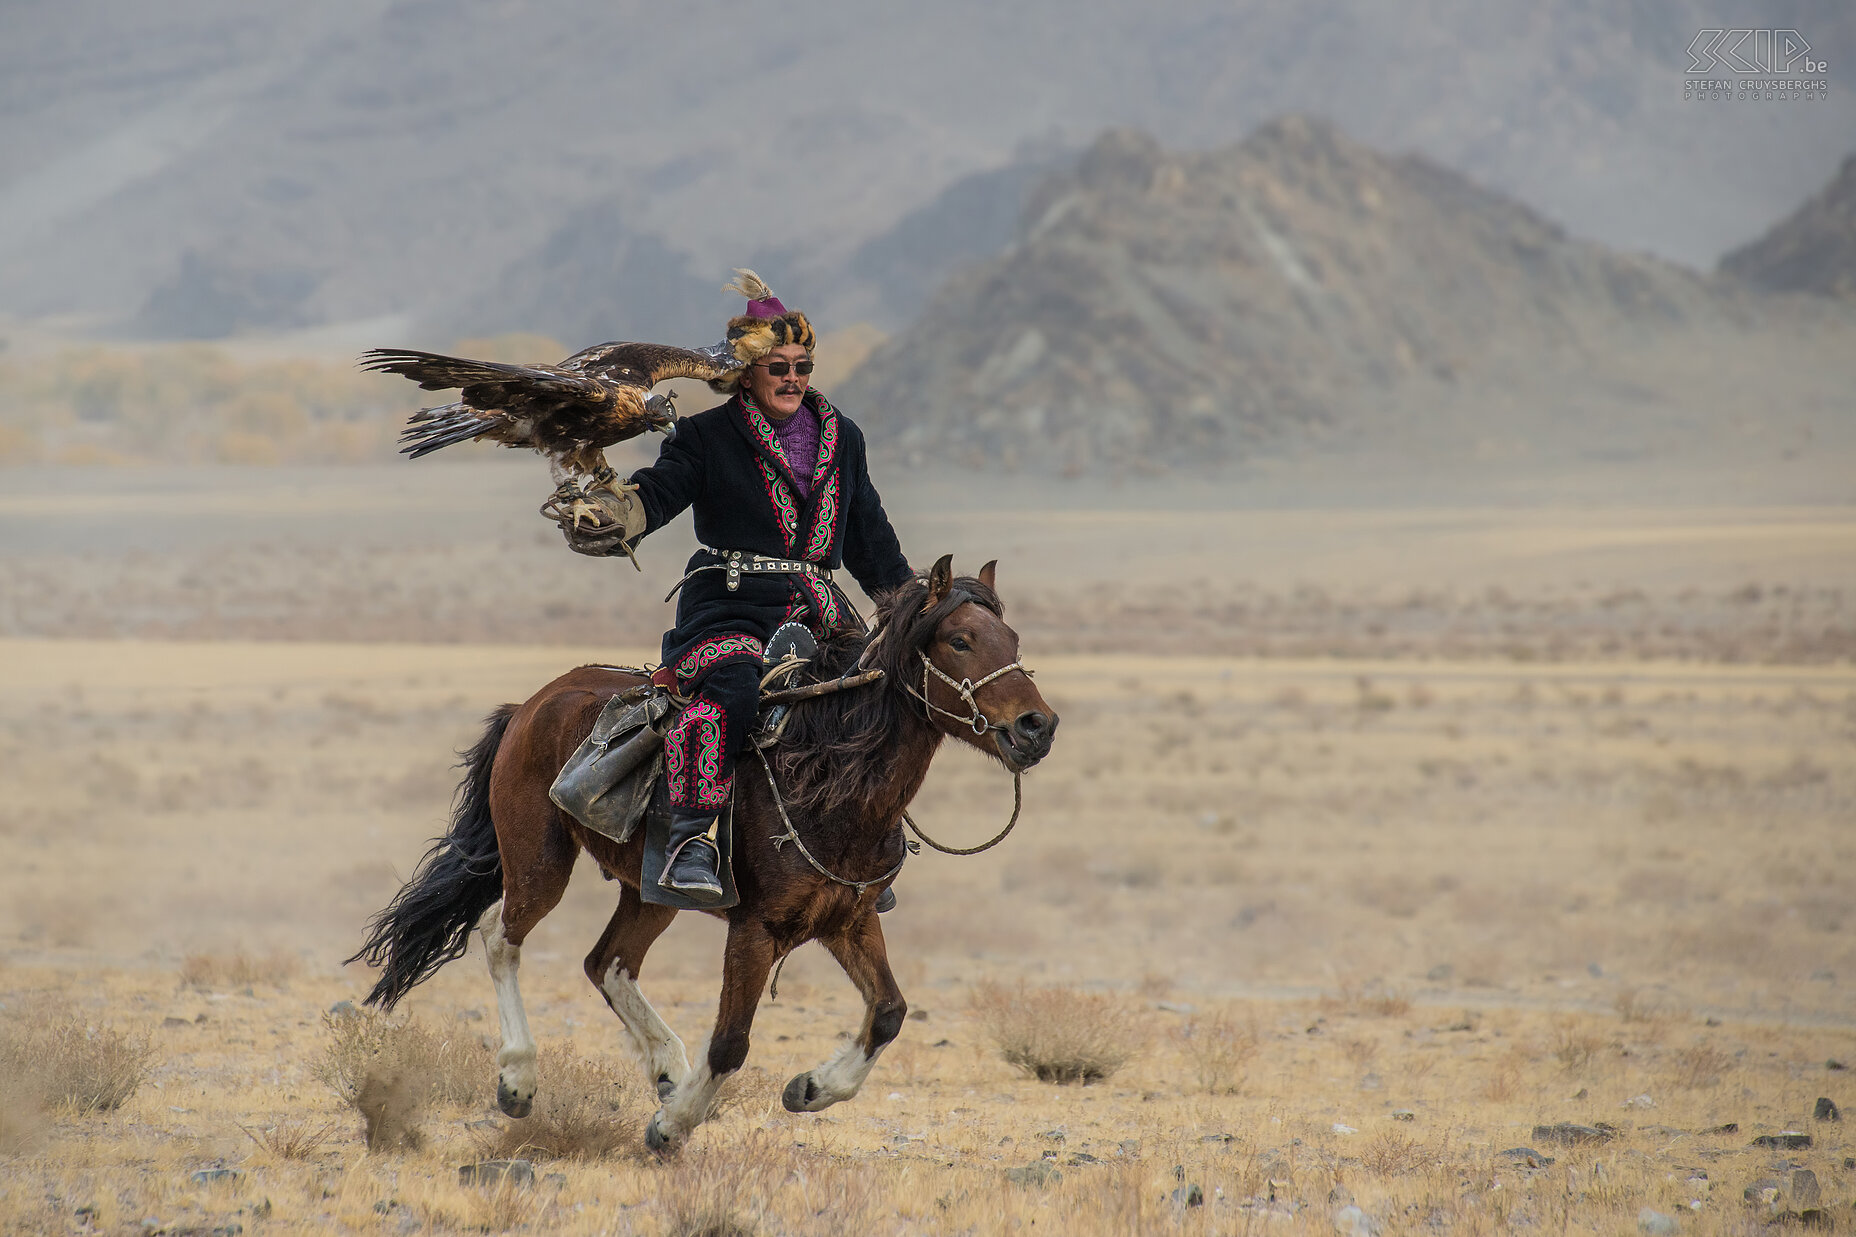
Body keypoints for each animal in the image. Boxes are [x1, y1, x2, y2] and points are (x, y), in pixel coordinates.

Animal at [341, 553, 1054, 1151]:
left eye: (1014, 642)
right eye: (959, 641)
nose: (1036, 727)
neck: (824, 773)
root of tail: (531, 706)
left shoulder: (848, 918)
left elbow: (889, 1013)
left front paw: (810, 1088)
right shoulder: (755, 928)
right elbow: (733, 1042)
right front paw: (672, 1126)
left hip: (653, 889)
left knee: (608, 962)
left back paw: (667, 1065)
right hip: (539, 863)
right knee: (500, 937)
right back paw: (520, 1079)